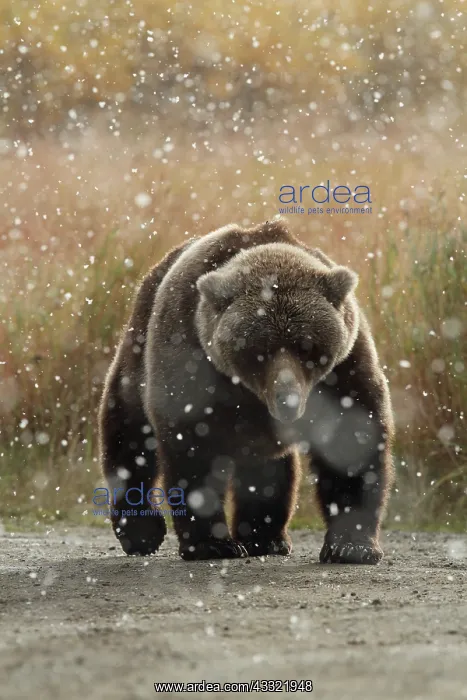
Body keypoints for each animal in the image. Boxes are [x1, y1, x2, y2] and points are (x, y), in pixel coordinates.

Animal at [98, 219, 394, 564]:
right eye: (259, 350)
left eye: (306, 345)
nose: (288, 401)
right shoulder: (189, 358)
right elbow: (193, 449)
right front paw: (211, 544)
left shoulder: (344, 368)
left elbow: (352, 442)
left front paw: (351, 546)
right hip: (139, 346)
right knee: (128, 432)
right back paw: (141, 532)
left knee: (268, 470)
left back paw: (265, 538)